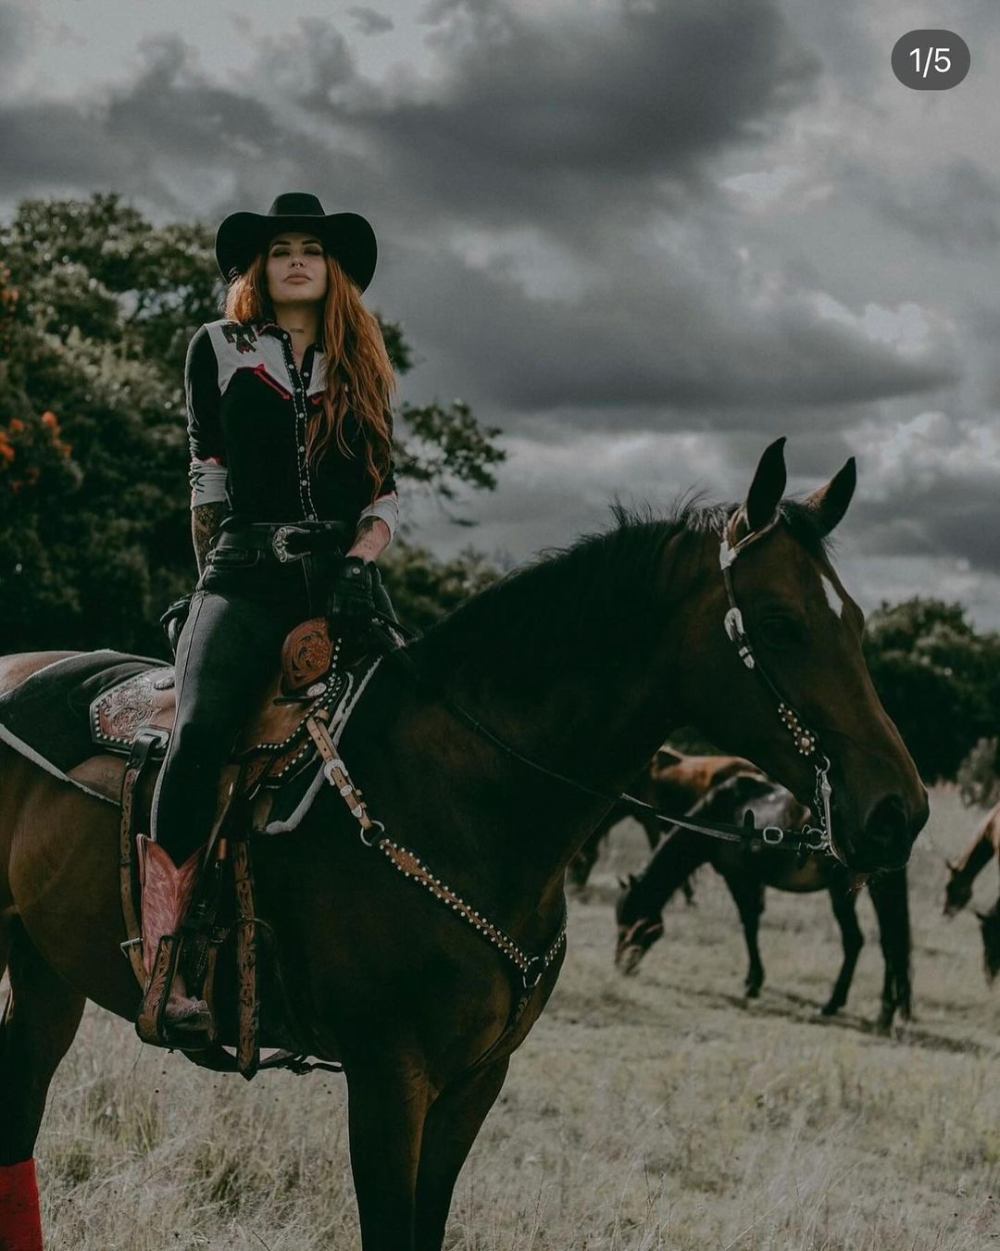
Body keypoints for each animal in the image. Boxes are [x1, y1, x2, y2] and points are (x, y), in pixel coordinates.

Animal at [610, 775, 916, 1030]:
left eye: (631, 921)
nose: (621, 966)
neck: (721, 813)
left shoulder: (739, 879)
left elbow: (749, 925)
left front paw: (753, 983)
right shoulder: (753, 883)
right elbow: (754, 923)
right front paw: (752, 980)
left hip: (843, 892)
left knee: (861, 942)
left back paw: (839, 1005)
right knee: (888, 944)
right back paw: (883, 1012)